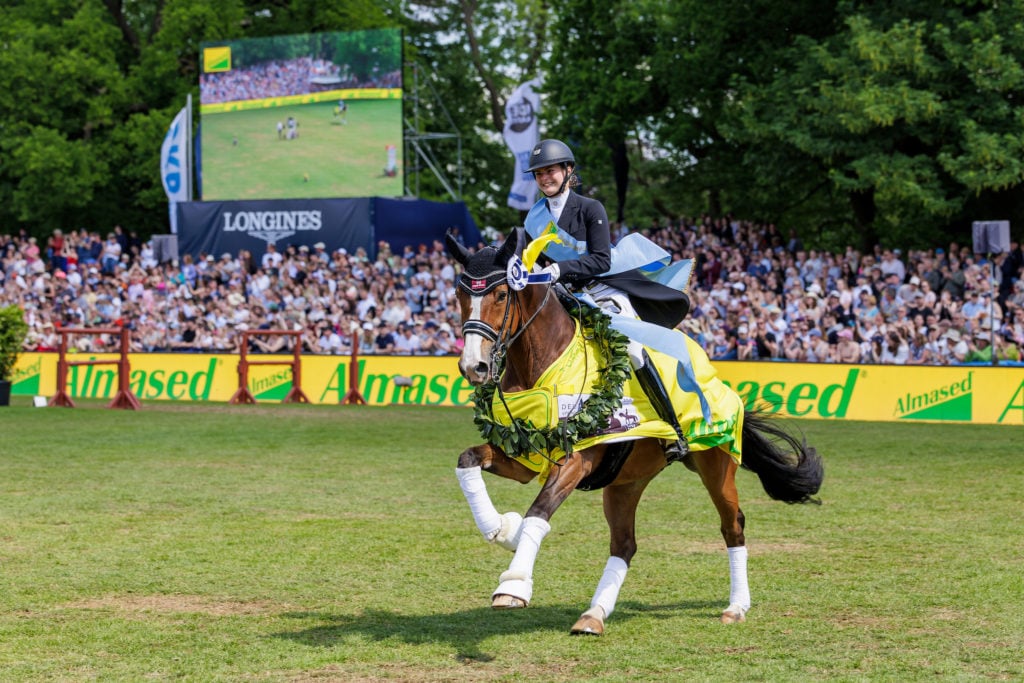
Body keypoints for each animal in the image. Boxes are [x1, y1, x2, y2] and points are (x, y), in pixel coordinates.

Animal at [448, 229, 823, 634]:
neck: (543, 364)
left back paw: (736, 606)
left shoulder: (577, 460)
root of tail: (716, 378)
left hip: (714, 464)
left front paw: (514, 583)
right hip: (625, 482)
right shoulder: (525, 456)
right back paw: (593, 615)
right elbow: (467, 460)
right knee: (624, 545)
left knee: (732, 526)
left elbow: (539, 511)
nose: (474, 366)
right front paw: (502, 528)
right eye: (459, 294)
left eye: (502, 295)